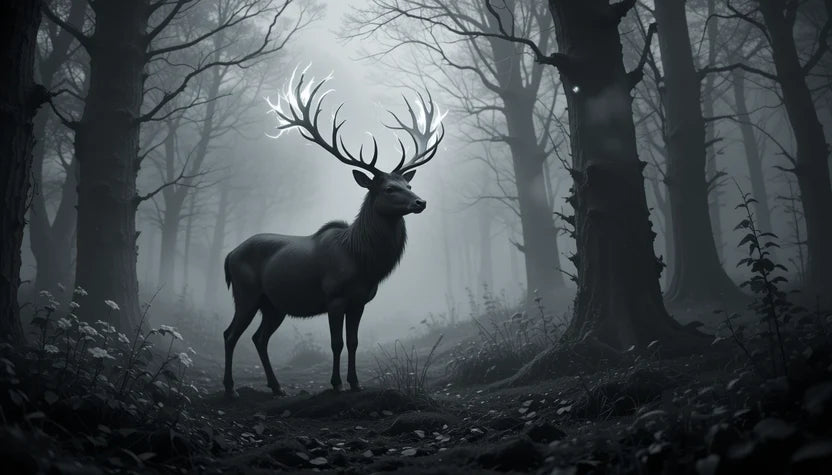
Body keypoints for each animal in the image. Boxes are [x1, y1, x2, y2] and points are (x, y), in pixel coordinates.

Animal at [222, 68, 445, 398]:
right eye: (389, 189)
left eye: (409, 184)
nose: (421, 202)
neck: (363, 261)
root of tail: (228, 256)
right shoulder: (334, 297)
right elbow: (336, 343)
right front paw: (337, 384)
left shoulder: (360, 300)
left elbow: (353, 342)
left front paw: (355, 382)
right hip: (246, 292)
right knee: (230, 334)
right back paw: (231, 388)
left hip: (273, 304)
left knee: (259, 338)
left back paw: (277, 387)